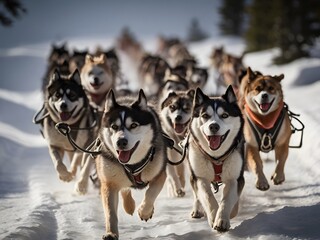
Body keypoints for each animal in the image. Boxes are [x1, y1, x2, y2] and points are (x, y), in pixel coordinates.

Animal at [95, 89, 168, 239]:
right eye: (114, 126)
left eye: (134, 125)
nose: (121, 142)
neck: (132, 164)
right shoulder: (108, 182)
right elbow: (110, 212)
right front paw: (111, 233)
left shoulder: (159, 173)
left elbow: (151, 193)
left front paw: (145, 211)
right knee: (124, 188)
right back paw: (129, 205)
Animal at [186, 85, 244, 232]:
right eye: (205, 116)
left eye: (225, 115)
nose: (213, 126)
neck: (216, 157)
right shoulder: (200, 177)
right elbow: (207, 196)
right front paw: (213, 216)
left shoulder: (235, 177)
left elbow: (228, 199)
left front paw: (223, 219)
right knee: (196, 194)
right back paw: (197, 209)